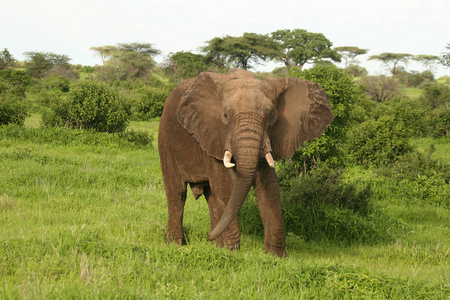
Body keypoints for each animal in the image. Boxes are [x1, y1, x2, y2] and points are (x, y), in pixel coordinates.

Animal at [158, 69, 334, 256]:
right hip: (165, 139)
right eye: (225, 116)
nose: (208, 235)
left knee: (211, 196)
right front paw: (232, 251)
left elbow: (269, 187)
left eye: (271, 116)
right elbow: (225, 186)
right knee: (177, 193)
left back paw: (215, 246)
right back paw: (176, 245)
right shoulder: (214, 134)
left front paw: (276, 256)